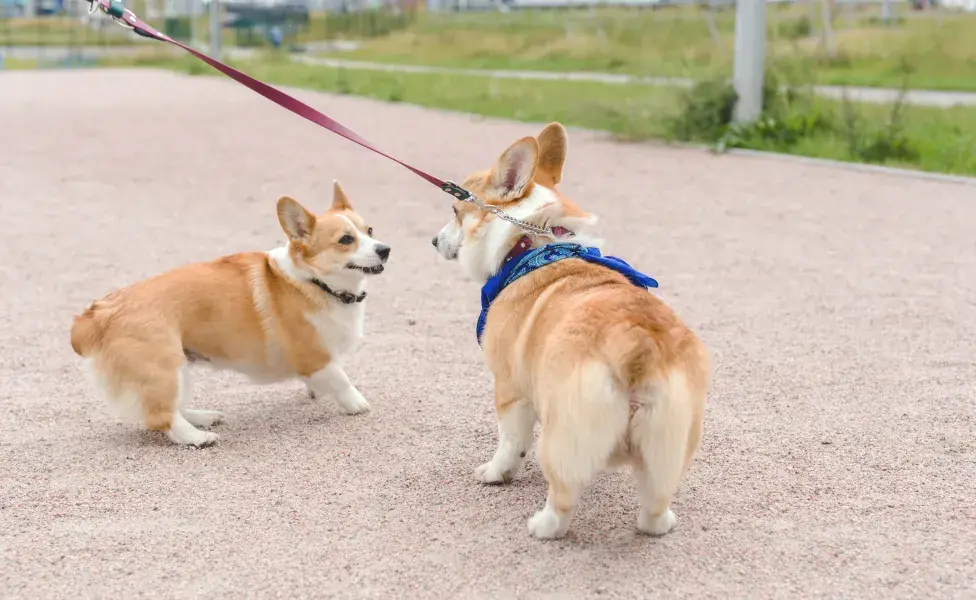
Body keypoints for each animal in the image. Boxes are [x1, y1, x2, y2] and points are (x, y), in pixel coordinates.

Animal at [70, 180, 390, 448]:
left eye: (370, 231)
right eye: (346, 239)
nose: (385, 249)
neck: (315, 282)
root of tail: (96, 314)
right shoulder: (313, 355)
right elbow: (341, 378)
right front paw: (357, 404)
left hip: (179, 368)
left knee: (173, 406)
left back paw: (202, 418)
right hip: (164, 367)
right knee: (161, 417)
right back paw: (197, 437)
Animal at [432, 124, 708, 540]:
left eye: (455, 211)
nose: (434, 241)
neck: (531, 244)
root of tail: (637, 343)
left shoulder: (509, 390)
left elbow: (509, 443)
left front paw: (495, 473)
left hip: (561, 438)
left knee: (562, 495)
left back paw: (542, 526)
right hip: (668, 443)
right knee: (655, 505)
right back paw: (659, 522)